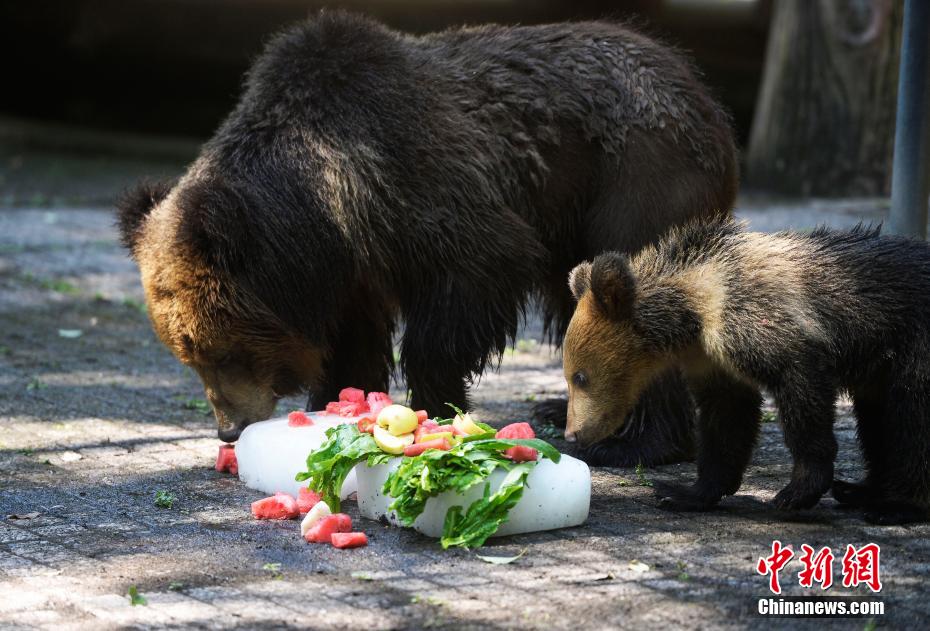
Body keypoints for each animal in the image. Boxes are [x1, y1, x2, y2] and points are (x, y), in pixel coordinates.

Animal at [118, 9, 740, 460]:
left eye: (220, 350)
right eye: (186, 354)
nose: (228, 427)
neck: (321, 209)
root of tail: (704, 94)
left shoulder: (418, 183)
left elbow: (473, 276)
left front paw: (436, 407)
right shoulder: (350, 267)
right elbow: (352, 340)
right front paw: (336, 402)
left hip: (631, 177)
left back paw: (639, 441)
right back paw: (559, 407)